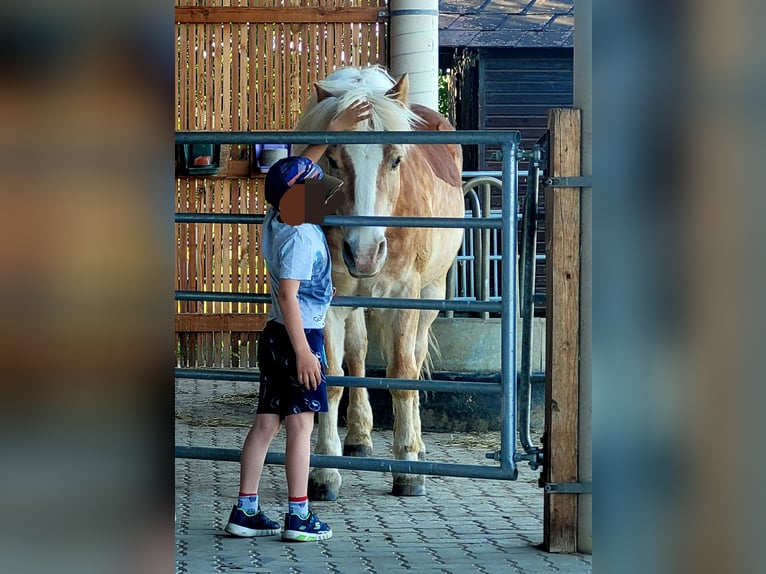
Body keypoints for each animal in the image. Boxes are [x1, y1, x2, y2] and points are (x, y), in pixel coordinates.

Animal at [292, 66, 464, 500]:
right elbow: (333, 380)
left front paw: (408, 468)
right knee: (356, 354)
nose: (365, 253)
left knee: (415, 360)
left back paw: (417, 445)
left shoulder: (404, 297)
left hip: (431, 296)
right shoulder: (331, 302)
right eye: (332, 159)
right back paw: (358, 437)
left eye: (397, 160)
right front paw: (324, 472)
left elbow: (402, 375)